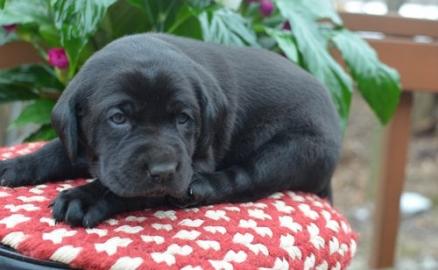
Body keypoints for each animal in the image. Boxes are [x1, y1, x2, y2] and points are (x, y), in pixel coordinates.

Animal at [0, 33, 342, 228]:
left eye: (183, 119)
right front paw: (15, 165)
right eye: (118, 118)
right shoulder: (83, 142)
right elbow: (54, 151)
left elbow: (127, 189)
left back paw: (204, 187)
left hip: (299, 148)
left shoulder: (193, 161)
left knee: (250, 175)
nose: (163, 171)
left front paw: (86, 196)